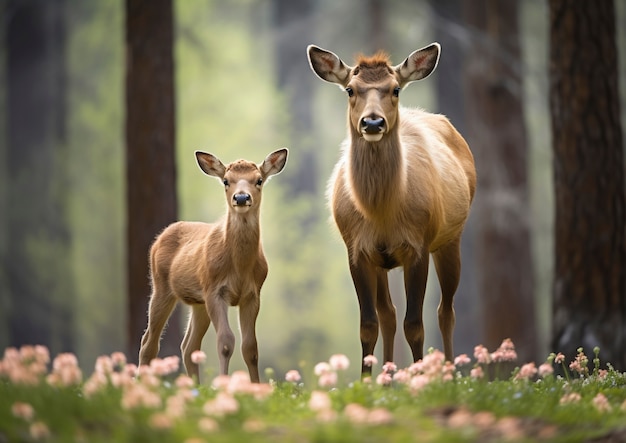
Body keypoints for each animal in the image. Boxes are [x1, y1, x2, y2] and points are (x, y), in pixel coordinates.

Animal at [136, 148, 288, 382]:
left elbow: (250, 348)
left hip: (198, 302)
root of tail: (159, 237)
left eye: (259, 180)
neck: (240, 267)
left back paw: (194, 385)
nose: (241, 197)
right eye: (226, 180)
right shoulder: (215, 290)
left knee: (188, 346)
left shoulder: (252, 294)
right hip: (162, 287)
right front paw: (223, 383)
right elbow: (225, 342)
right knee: (148, 342)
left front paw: (256, 386)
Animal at [308, 43, 472, 374]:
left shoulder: (418, 246)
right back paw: (388, 374)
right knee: (388, 314)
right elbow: (368, 325)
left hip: (450, 238)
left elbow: (415, 325)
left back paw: (449, 372)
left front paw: (421, 377)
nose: (372, 122)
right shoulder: (356, 250)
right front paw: (366, 379)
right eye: (350, 89)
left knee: (445, 311)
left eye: (395, 88)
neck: (381, 211)